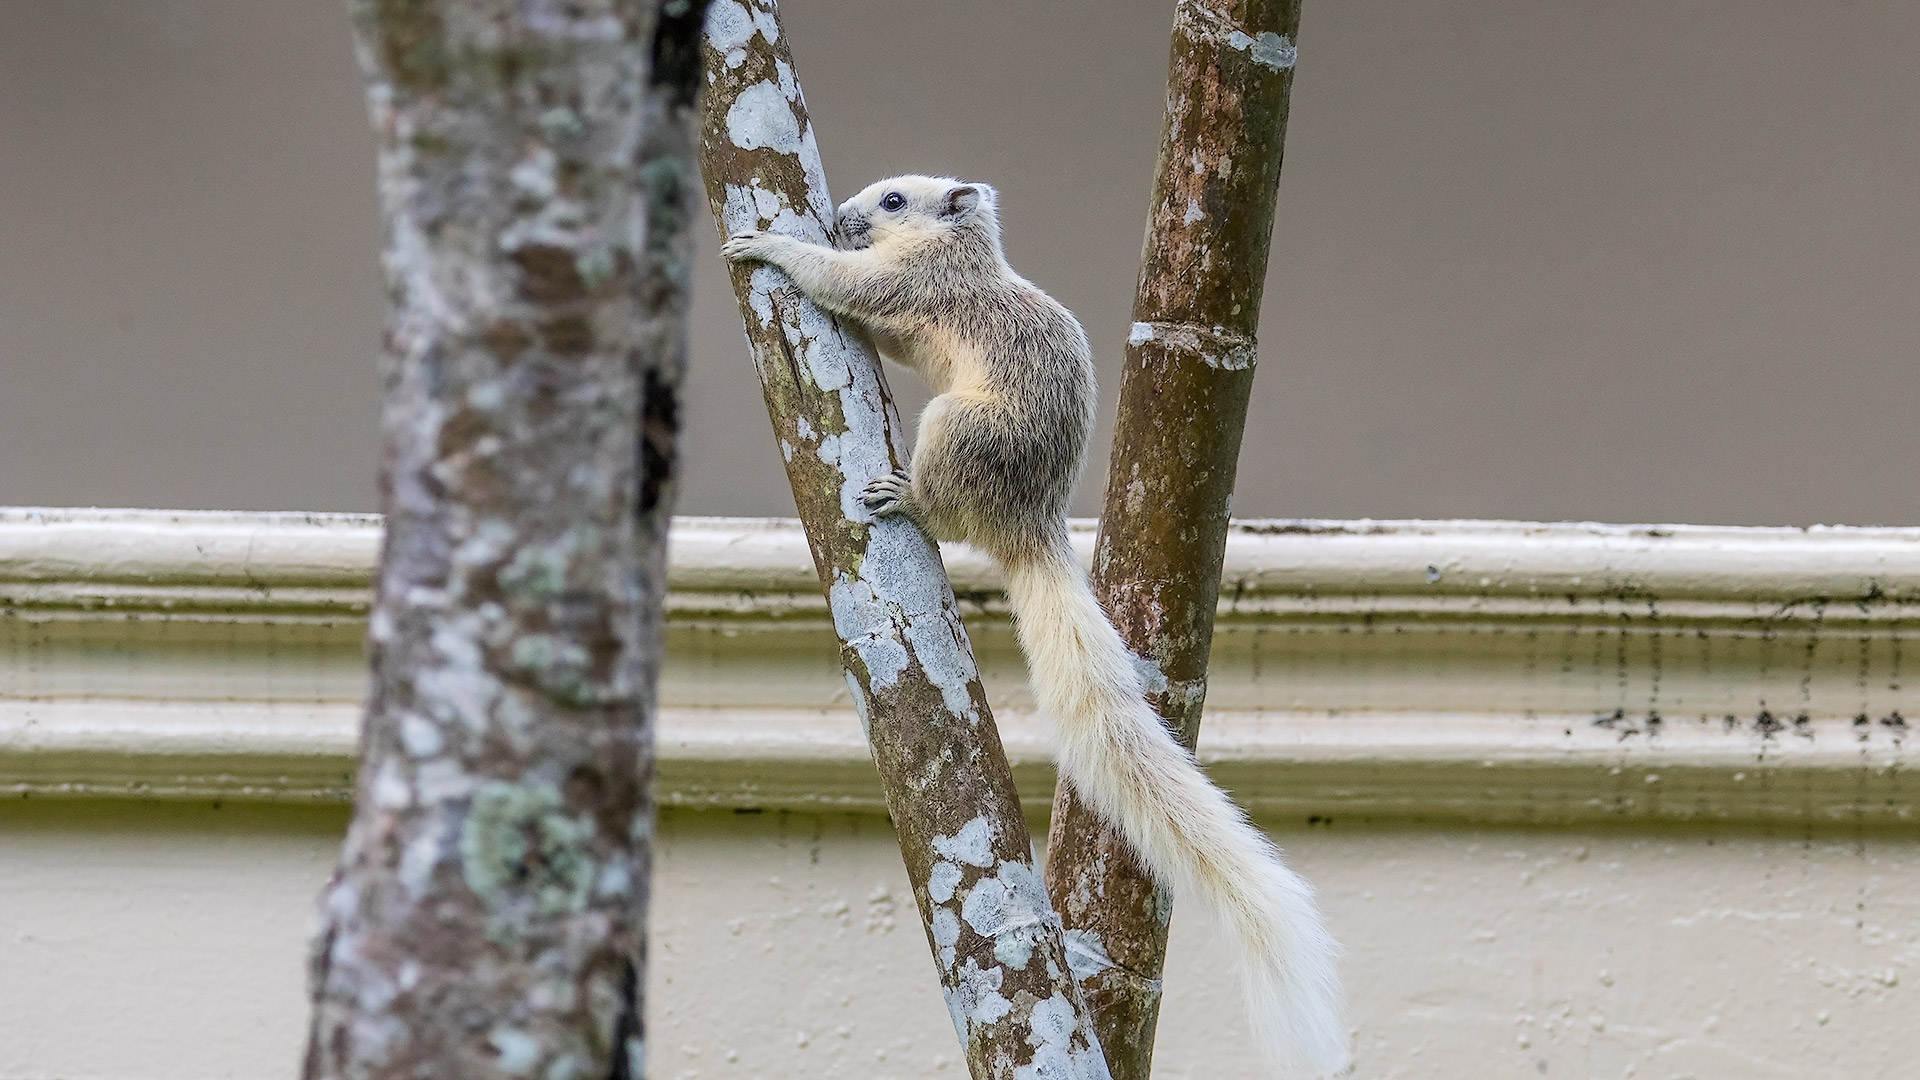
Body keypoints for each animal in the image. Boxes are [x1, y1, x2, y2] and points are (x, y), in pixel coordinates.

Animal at [721, 171, 1351, 1068]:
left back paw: (905, 497)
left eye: (893, 201)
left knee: (943, 509)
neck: (963, 250)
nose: (840, 216)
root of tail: (1030, 524)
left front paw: (768, 244)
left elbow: (844, 285)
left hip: (954, 428)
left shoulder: (915, 285)